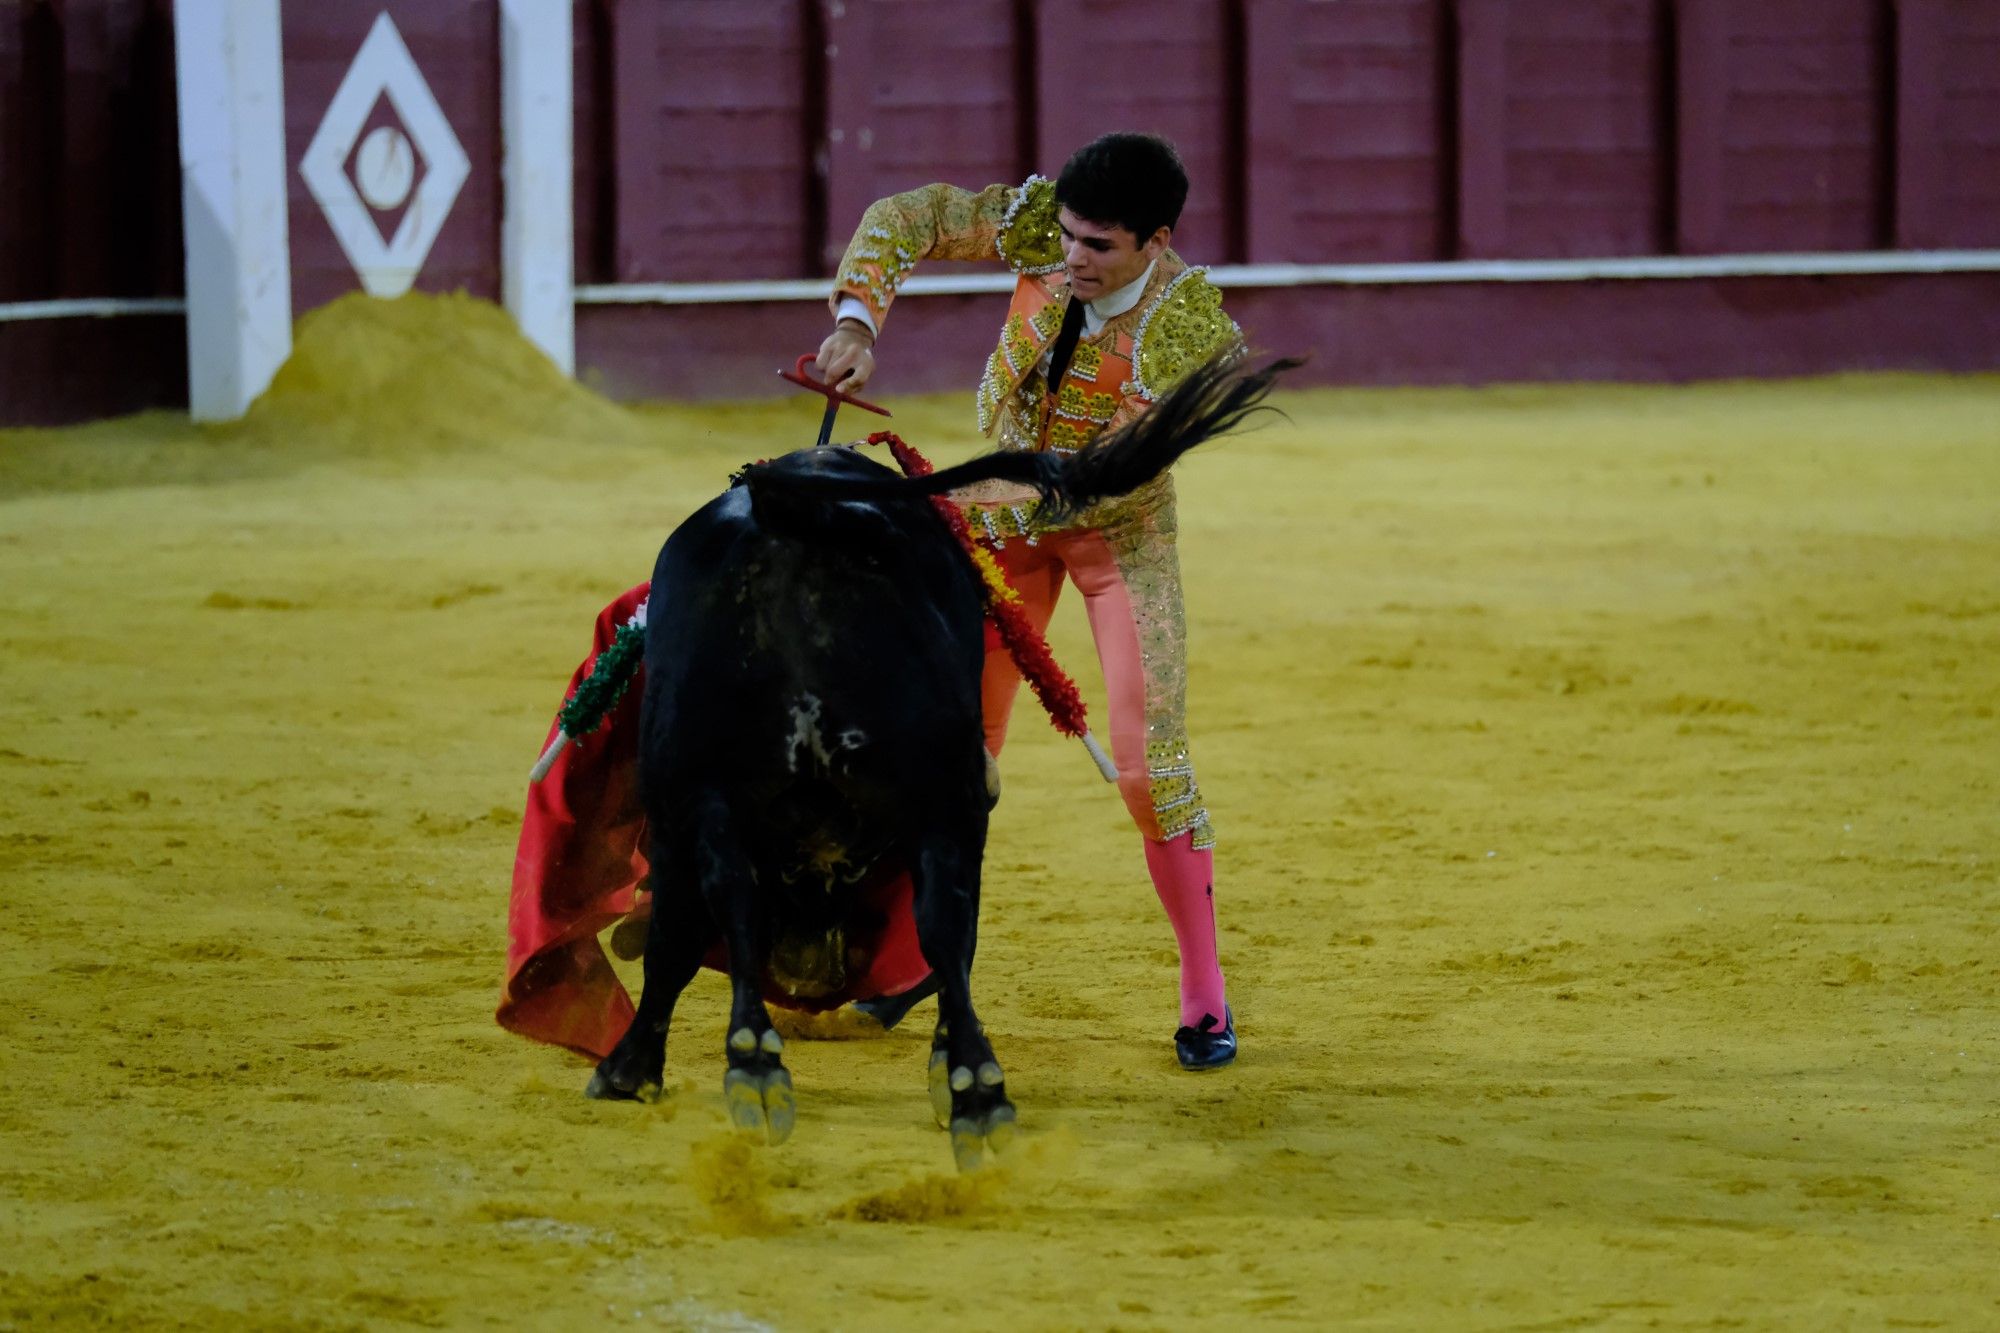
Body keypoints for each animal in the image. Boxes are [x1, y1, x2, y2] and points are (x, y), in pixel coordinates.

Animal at [584, 350, 1288, 1160]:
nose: (810, 970)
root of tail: (797, 513)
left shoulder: (682, 808)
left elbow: (677, 934)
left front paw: (633, 1066)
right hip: (935, 793)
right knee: (939, 922)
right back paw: (964, 1084)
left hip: (831, 789)